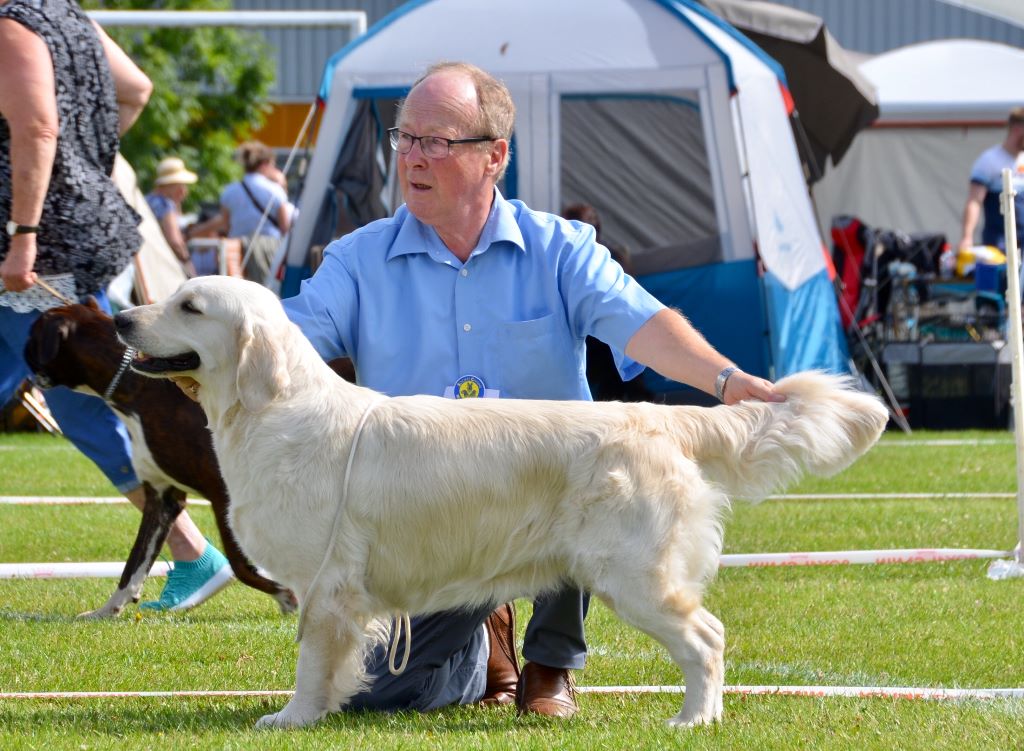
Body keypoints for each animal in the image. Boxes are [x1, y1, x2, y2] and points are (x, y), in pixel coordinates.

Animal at [24, 297, 296, 614]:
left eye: (31, 338)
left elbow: (240, 565)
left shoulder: (222, 496)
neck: (139, 390)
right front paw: (110, 608)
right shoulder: (162, 498)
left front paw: (284, 592)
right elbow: (135, 562)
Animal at [116, 274, 892, 725]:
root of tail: (660, 417)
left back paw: (694, 720)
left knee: (707, 637)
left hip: (634, 575)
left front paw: (295, 718)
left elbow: (312, 662)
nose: (121, 319)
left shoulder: (327, 584)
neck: (273, 407)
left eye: (189, 305)